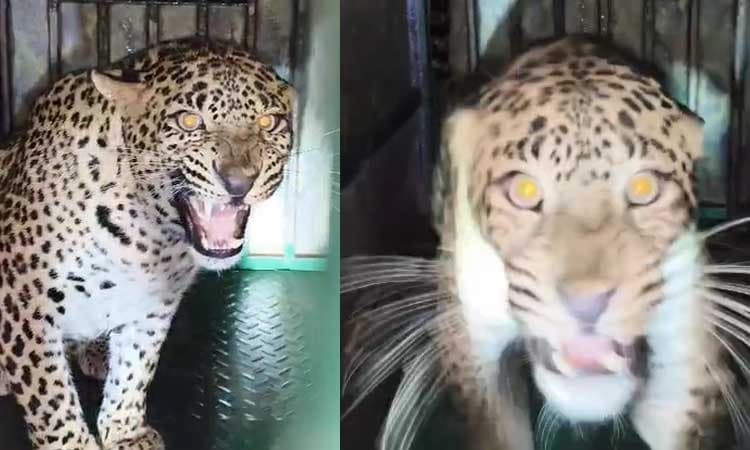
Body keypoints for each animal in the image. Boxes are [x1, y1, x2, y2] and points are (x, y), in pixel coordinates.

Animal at [0, 38, 296, 450]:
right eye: (189, 121)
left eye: (269, 122)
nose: (239, 182)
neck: (147, 236)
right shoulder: (24, 302)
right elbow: (51, 398)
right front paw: (74, 444)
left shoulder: (153, 303)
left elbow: (135, 369)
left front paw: (125, 432)